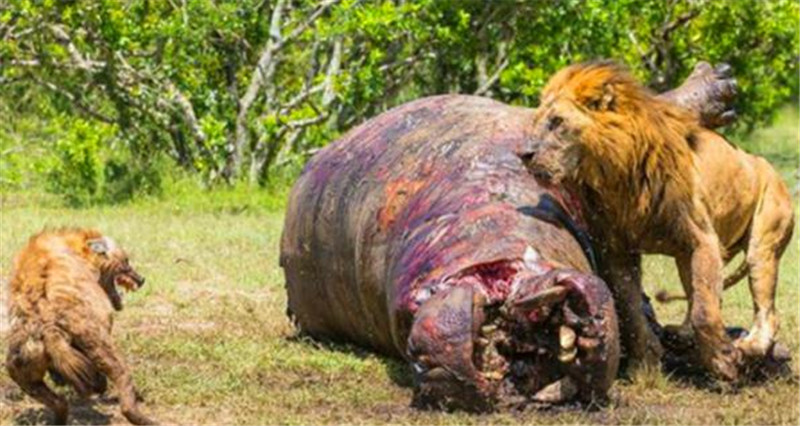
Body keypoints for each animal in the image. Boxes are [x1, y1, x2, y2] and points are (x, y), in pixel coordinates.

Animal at [4, 230, 155, 426]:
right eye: (126, 261)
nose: (142, 279)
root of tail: (47, 326)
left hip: (20, 366)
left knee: (59, 401)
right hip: (99, 344)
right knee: (122, 381)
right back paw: (144, 416)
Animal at [520, 60, 792, 382]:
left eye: (558, 122)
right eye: (538, 121)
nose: (523, 154)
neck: (615, 176)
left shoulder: (702, 239)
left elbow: (704, 313)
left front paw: (724, 361)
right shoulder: (618, 250)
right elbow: (632, 312)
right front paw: (645, 366)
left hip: (762, 243)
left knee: (766, 313)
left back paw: (749, 347)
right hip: (686, 257)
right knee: (700, 294)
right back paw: (683, 335)